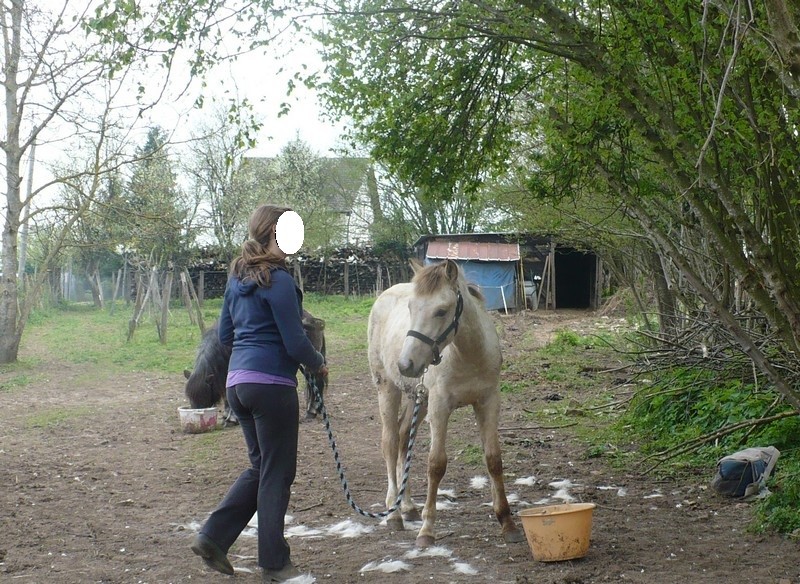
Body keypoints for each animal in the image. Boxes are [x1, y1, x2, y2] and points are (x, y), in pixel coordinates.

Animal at [184, 310, 328, 424]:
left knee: (316, 382)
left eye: (203, 395)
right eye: (190, 396)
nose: (197, 413)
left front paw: (231, 418)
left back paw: (312, 410)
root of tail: (312, 318)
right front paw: (226, 416)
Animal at [368, 260, 524, 548]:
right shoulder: (440, 407)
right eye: (410, 308)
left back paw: (407, 506)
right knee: (391, 442)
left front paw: (508, 523)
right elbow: (436, 464)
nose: (406, 364)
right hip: (388, 389)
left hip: (419, 398)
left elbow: (494, 460)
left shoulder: (488, 402)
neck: (469, 355)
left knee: (404, 436)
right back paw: (394, 513)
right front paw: (427, 531)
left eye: (441, 311)